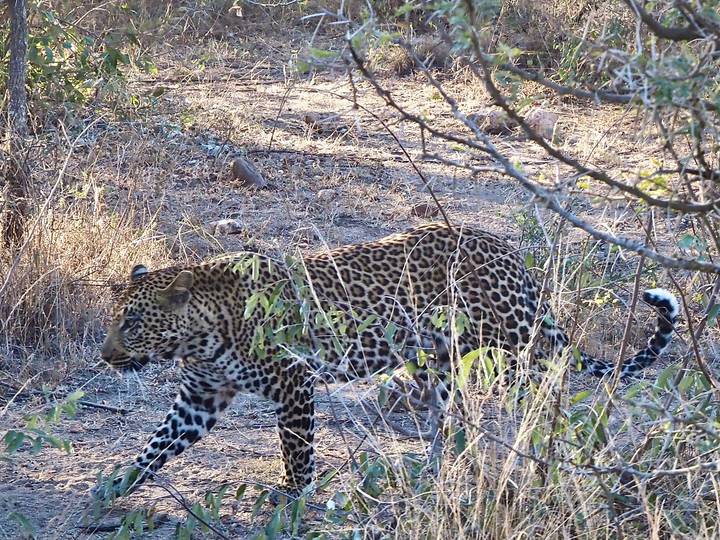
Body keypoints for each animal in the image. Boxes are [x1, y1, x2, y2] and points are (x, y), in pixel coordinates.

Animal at [97, 222, 679, 499]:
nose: (105, 356)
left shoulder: (294, 382)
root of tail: (509, 253)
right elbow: (154, 447)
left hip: (517, 343)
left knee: (553, 388)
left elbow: (296, 449)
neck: (198, 335)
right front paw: (112, 490)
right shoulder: (200, 396)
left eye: (132, 322)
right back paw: (439, 471)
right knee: (450, 420)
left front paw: (295, 496)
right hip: (440, 360)